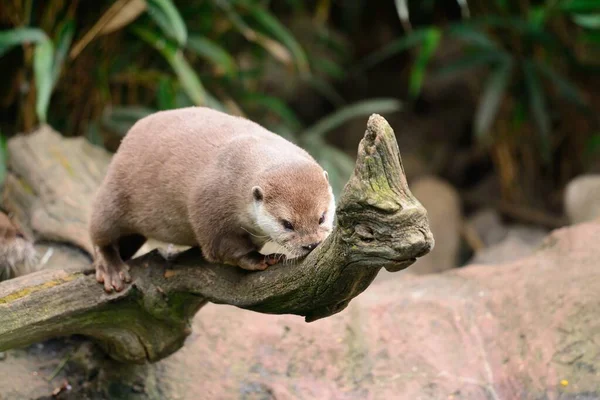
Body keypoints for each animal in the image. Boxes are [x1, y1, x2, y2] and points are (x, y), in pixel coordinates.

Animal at [88, 107, 336, 290]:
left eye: (321, 217)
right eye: (287, 224)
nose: (311, 244)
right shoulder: (209, 204)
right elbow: (222, 247)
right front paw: (259, 259)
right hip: (114, 194)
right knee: (99, 233)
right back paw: (112, 269)